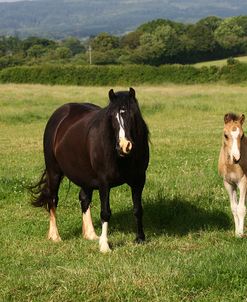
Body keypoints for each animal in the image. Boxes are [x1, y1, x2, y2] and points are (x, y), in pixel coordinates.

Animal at [29, 88, 150, 252]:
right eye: (112, 117)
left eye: (132, 114)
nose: (124, 146)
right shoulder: (104, 182)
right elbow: (105, 212)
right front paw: (105, 246)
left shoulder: (139, 180)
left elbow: (138, 209)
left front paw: (140, 239)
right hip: (54, 171)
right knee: (53, 199)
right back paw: (55, 236)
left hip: (84, 176)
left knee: (84, 198)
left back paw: (91, 234)